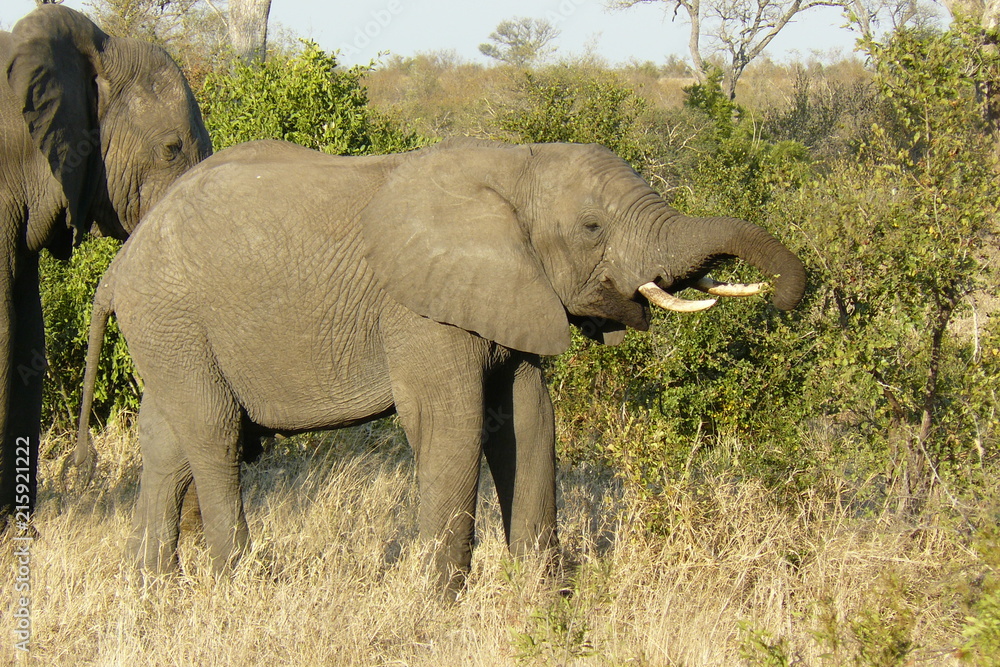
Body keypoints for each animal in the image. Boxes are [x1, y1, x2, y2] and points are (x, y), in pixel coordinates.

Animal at [72, 137, 804, 596]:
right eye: (593, 227)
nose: (790, 294)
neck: (513, 168)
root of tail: (117, 268)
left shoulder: (511, 293)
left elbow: (529, 424)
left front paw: (546, 604)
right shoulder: (420, 309)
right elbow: (451, 426)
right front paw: (433, 609)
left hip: (171, 332)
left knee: (167, 443)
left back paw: (154, 593)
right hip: (173, 318)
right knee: (215, 436)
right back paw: (240, 586)